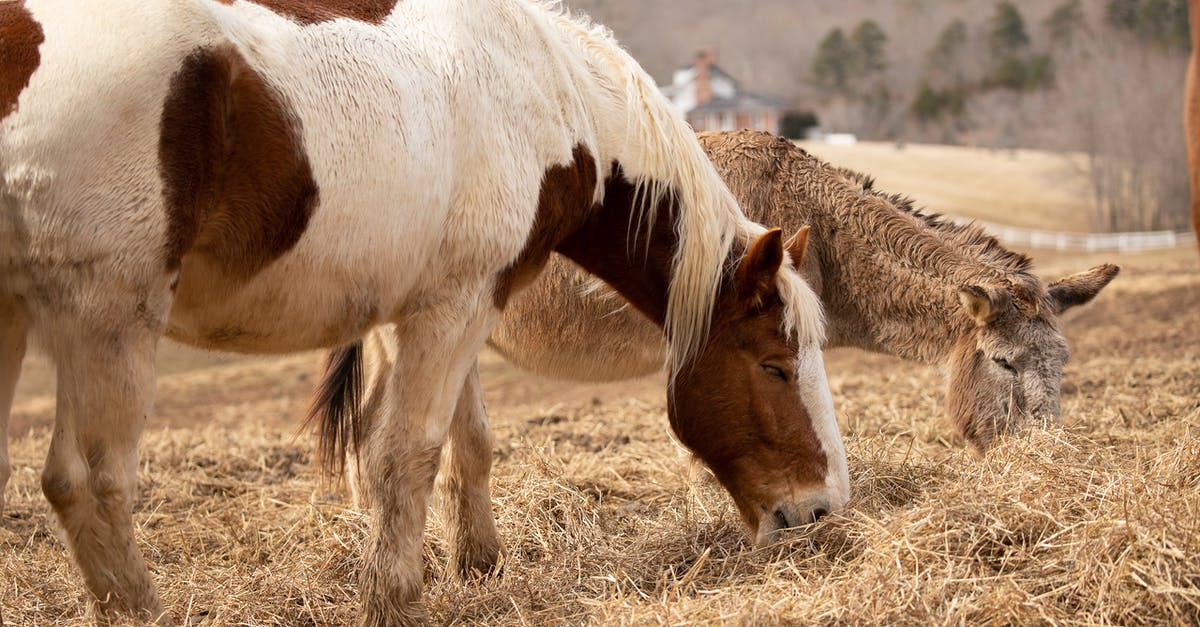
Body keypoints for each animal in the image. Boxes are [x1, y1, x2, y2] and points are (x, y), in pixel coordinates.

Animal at [0, 0, 844, 619]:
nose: (821, 509)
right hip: (109, 323)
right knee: (89, 478)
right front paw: (397, 594)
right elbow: (406, 452)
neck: (544, 94)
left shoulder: (462, 302)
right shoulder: (456, 306)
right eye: (774, 365)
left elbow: (469, 440)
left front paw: (480, 560)